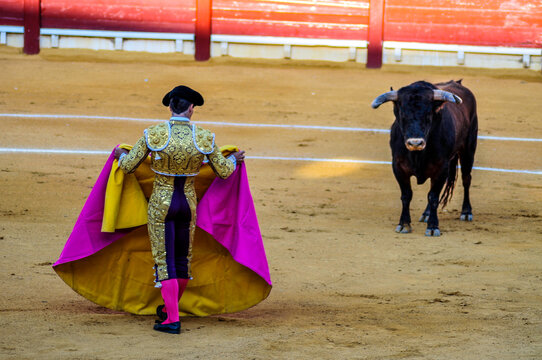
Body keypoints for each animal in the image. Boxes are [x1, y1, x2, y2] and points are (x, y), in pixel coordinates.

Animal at [374, 80, 480, 236]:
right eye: (402, 114)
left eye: (428, 114)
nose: (415, 143)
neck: (417, 155)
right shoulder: (398, 167)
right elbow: (406, 195)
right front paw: (404, 224)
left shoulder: (441, 168)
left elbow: (434, 196)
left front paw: (433, 226)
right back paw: (427, 213)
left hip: (469, 149)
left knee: (466, 179)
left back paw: (466, 212)